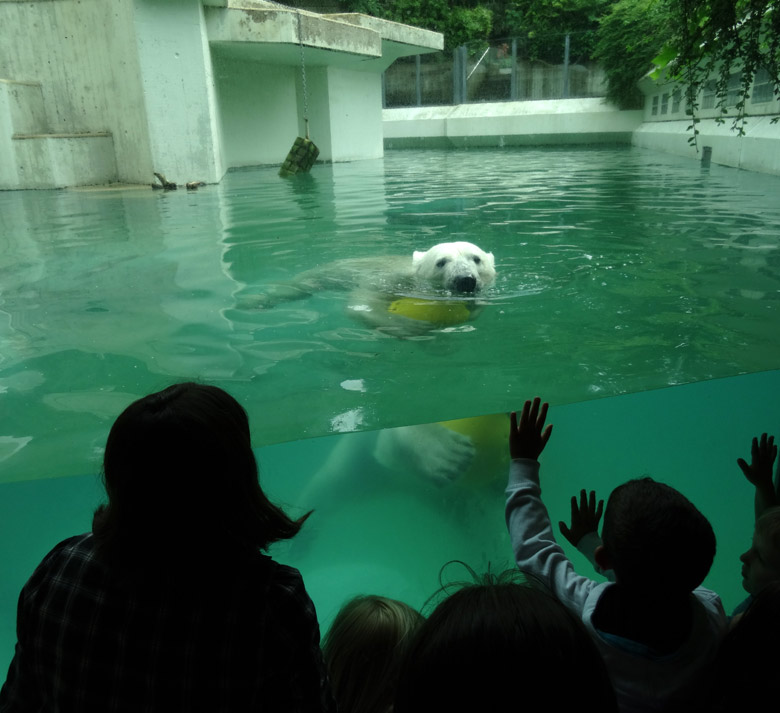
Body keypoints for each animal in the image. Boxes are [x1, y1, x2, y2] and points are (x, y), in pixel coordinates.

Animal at [247, 241, 496, 336]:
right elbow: (362, 304)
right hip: (324, 274)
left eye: (476, 259)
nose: (465, 280)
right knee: (298, 287)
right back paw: (255, 302)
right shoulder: (386, 280)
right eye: (441, 262)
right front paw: (412, 326)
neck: (413, 282)